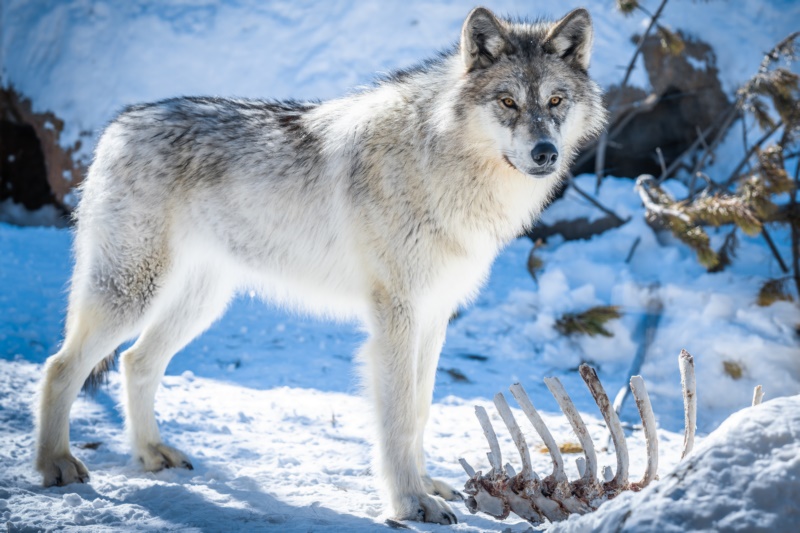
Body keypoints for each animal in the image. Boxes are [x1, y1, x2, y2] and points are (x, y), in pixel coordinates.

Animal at [34, 5, 604, 524]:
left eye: (555, 101)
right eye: (508, 102)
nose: (545, 153)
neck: (442, 163)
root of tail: (118, 126)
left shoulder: (434, 316)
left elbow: (421, 410)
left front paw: (426, 487)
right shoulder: (395, 318)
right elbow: (398, 417)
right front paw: (410, 503)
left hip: (198, 304)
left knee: (136, 362)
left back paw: (152, 454)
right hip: (131, 295)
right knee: (60, 366)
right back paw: (56, 464)